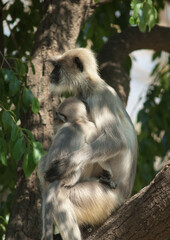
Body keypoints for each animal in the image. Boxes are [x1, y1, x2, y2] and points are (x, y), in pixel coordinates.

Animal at [41, 48, 137, 240]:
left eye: (57, 67)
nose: (51, 74)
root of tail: (124, 195)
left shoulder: (99, 96)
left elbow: (116, 140)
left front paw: (64, 165)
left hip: (101, 196)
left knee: (61, 194)